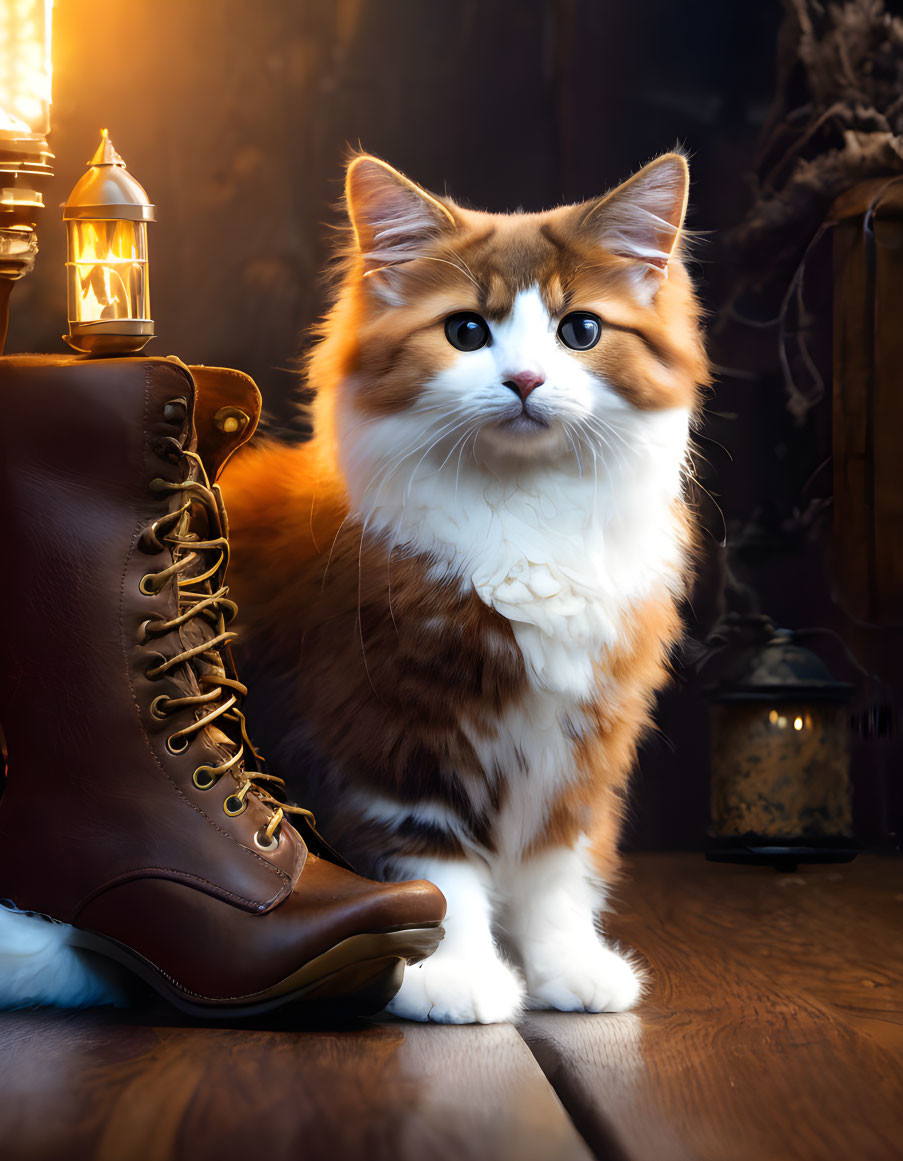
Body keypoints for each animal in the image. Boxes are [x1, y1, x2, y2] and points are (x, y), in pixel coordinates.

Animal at [221, 149, 705, 1021]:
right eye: (466, 332)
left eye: (580, 330)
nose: (525, 379)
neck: (523, 508)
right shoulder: (394, 727)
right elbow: (434, 867)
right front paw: (454, 976)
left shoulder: (584, 737)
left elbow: (556, 868)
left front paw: (567, 967)